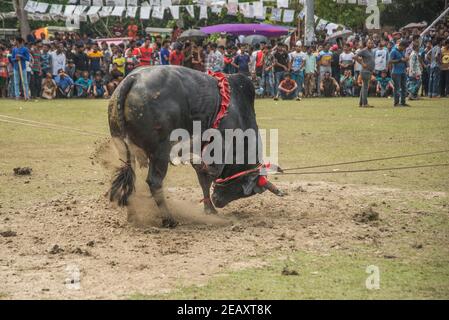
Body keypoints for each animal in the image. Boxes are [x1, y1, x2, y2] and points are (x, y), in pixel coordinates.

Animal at [108, 65, 282, 228]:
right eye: (243, 190)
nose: (218, 201)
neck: (238, 111)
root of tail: (134, 78)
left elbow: (203, 179)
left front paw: (210, 209)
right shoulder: (216, 152)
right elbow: (208, 175)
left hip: (124, 149)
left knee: (130, 177)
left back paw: (133, 215)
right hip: (160, 153)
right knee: (154, 182)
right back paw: (169, 219)